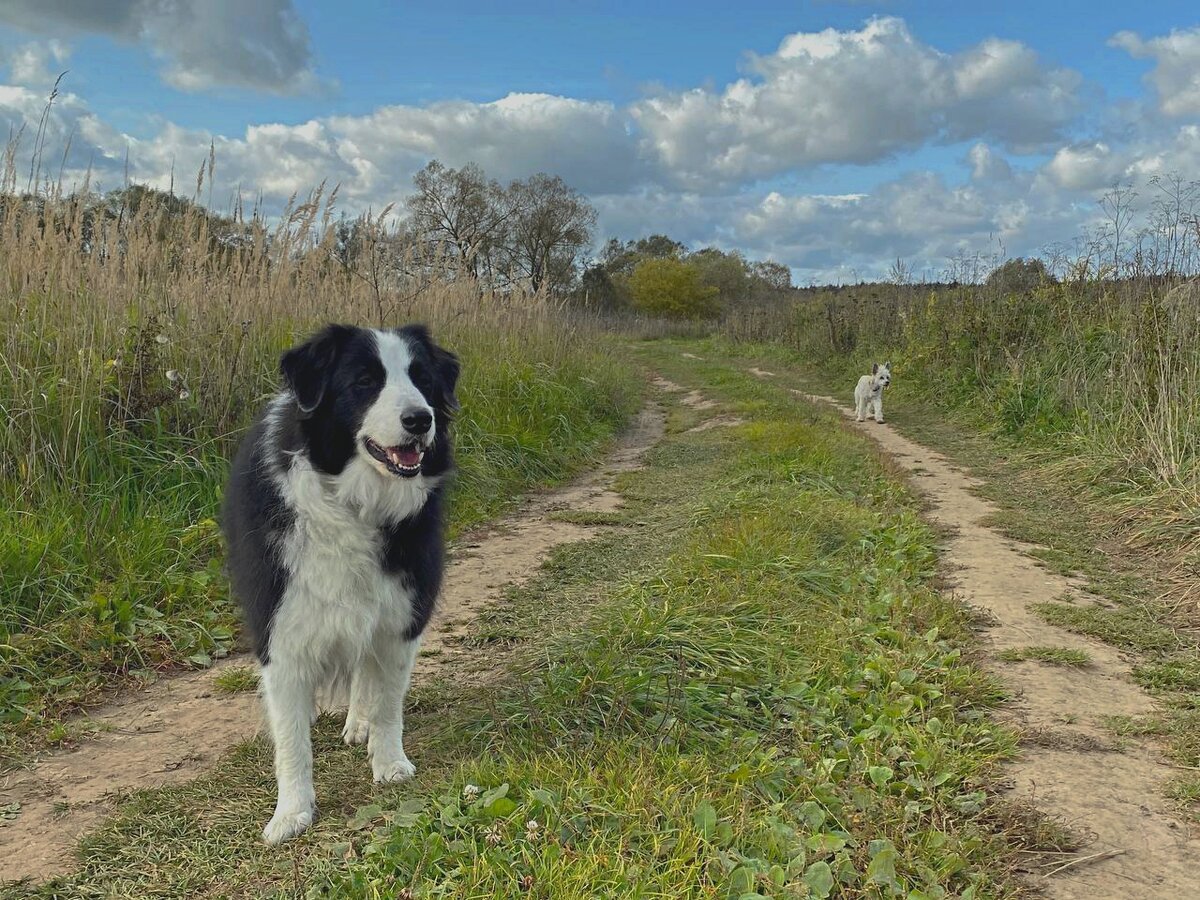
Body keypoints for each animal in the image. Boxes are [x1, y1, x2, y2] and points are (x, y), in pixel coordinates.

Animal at [220, 324, 458, 844]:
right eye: (364, 382)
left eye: (423, 379)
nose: (420, 419)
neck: (355, 503)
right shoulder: (281, 626)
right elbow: (291, 737)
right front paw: (291, 812)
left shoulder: (399, 616)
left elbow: (387, 700)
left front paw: (389, 765)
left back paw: (358, 723)